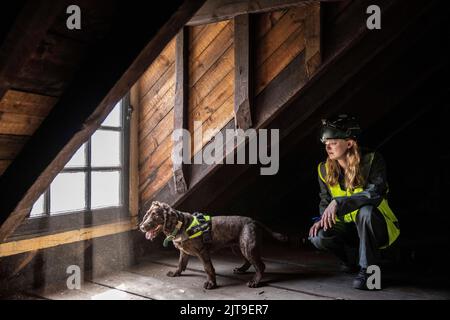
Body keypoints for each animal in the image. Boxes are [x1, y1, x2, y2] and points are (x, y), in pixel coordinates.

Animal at [138, 201, 288, 288]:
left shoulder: (202, 251)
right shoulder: (184, 251)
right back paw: (241, 269)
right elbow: (180, 263)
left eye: (155, 215)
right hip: (239, 246)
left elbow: (208, 268)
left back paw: (255, 282)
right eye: (147, 214)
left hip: (247, 245)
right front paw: (176, 273)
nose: (141, 227)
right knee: (249, 261)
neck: (181, 225)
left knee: (260, 266)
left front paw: (211, 283)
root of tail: (254, 221)